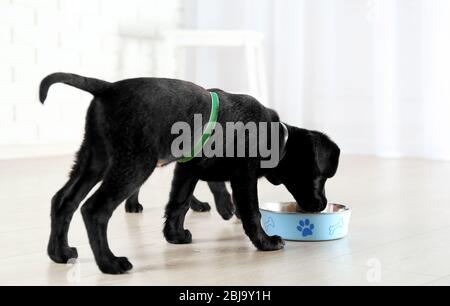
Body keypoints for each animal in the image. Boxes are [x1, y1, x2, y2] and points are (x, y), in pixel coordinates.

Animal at [40, 72, 340, 274]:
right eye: (322, 176)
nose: (322, 204)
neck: (276, 137)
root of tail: (107, 88)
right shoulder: (243, 177)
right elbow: (252, 212)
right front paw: (265, 242)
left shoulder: (188, 169)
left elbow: (179, 203)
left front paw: (175, 235)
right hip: (133, 165)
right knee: (95, 209)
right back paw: (110, 263)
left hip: (94, 159)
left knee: (64, 200)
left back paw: (60, 253)